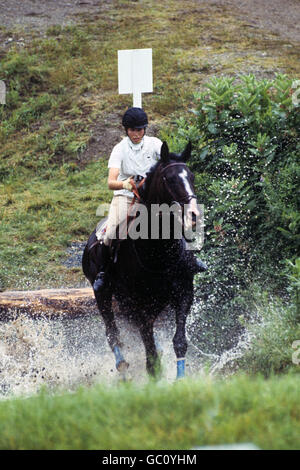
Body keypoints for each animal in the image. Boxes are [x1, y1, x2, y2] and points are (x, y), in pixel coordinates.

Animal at [81, 141, 200, 380]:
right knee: (112, 332)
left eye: (191, 176)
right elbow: (150, 352)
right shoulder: (140, 306)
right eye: (169, 179)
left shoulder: (183, 293)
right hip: (103, 294)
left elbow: (179, 342)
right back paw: (121, 363)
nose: (193, 215)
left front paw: (181, 379)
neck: (159, 252)